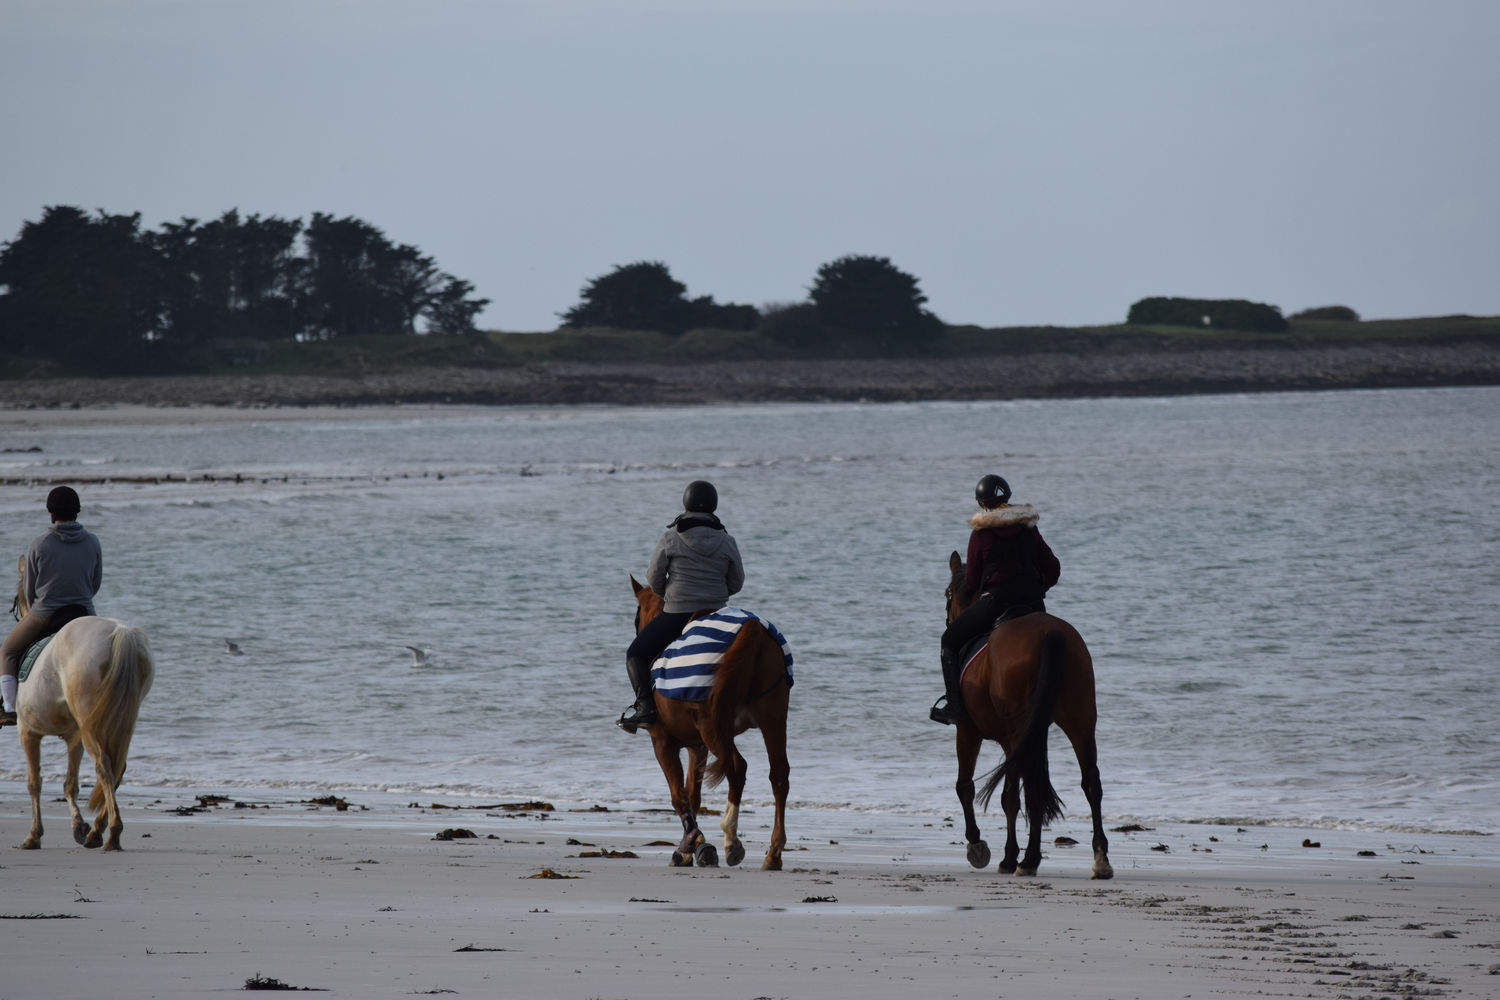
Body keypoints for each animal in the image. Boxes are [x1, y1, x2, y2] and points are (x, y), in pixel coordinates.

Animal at [12, 560, 155, 851]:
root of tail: (120, 632)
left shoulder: (27, 731)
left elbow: (34, 782)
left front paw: (34, 835)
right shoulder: (73, 736)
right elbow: (70, 784)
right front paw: (79, 827)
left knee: (104, 765)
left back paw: (112, 833)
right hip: (120, 719)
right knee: (117, 766)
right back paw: (97, 831)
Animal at [633, 578, 798, 869]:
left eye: (635, 619)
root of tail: (753, 628)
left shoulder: (662, 741)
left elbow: (679, 795)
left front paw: (692, 846)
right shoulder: (697, 746)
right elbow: (692, 794)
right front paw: (692, 847)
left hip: (713, 728)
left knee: (737, 767)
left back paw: (732, 840)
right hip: (773, 719)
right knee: (779, 775)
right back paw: (774, 853)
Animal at [942, 551, 1110, 881]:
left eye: (947, 593)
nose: (949, 619)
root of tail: (1050, 633)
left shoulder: (968, 730)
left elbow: (967, 786)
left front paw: (980, 847)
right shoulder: (1019, 739)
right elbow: (1012, 795)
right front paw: (1008, 856)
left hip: (1021, 729)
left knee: (1030, 788)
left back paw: (1028, 860)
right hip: (1079, 721)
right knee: (1089, 782)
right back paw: (1099, 859)